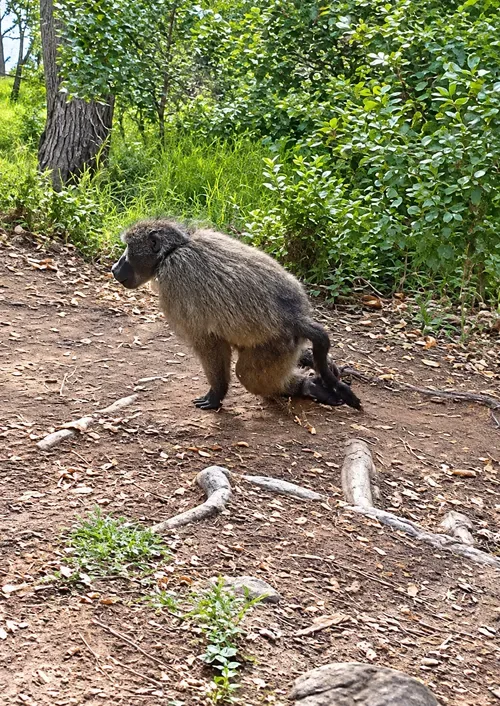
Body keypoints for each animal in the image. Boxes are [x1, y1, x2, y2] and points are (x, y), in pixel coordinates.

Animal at [111, 219, 361, 412]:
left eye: (128, 249)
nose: (115, 268)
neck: (174, 251)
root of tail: (296, 318)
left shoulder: (175, 286)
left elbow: (209, 343)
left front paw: (216, 394)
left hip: (276, 345)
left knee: (247, 374)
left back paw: (308, 386)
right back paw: (310, 383)